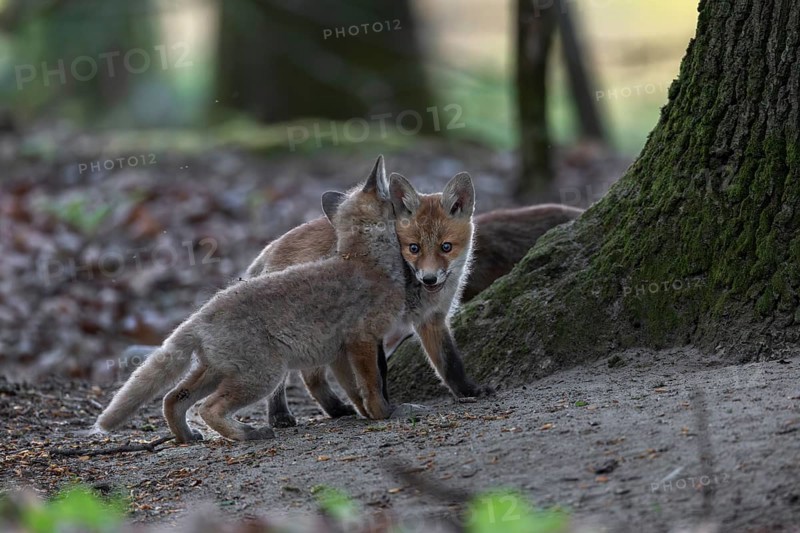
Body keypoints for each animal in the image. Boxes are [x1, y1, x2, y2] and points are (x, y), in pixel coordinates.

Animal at [95, 163, 409, 443]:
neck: (365, 260)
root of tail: (199, 316)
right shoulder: (363, 338)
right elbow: (373, 382)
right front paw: (383, 413)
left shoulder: (341, 349)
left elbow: (354, 389)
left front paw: (364, 412)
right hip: (262, 375)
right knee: (208, 408)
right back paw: (249, 433)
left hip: (216, 372)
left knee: (173, 399)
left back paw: (187, 437)